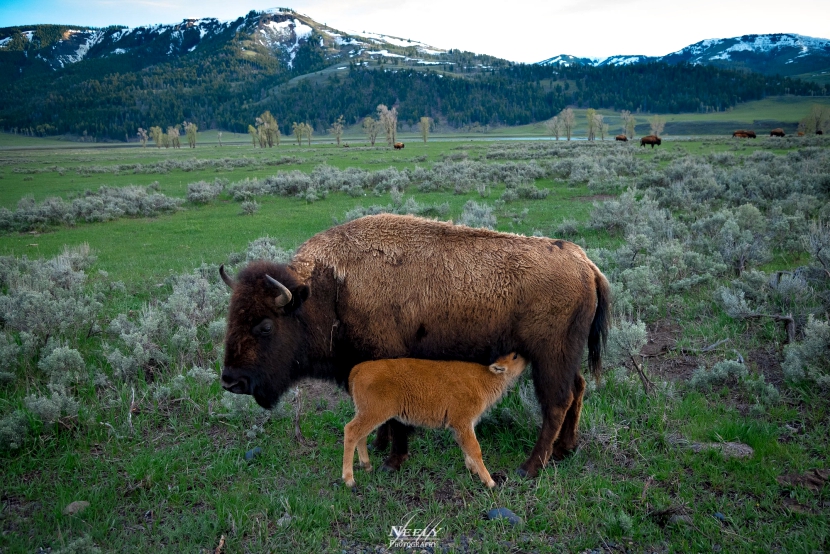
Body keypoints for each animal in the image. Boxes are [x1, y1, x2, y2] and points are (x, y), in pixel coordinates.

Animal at [342, 352, 528, 486]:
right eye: (514, 357)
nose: (526, 357)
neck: (485, 377)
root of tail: (359, 368)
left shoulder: (465, 425)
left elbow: (467, 448)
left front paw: (473, 469)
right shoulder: (462, 422)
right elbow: (475, 449)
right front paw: (490, 482)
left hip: (366, 414)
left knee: (360, 435)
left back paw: (367, 466)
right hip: (374, 413)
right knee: (351, 431)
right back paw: (349, 480)